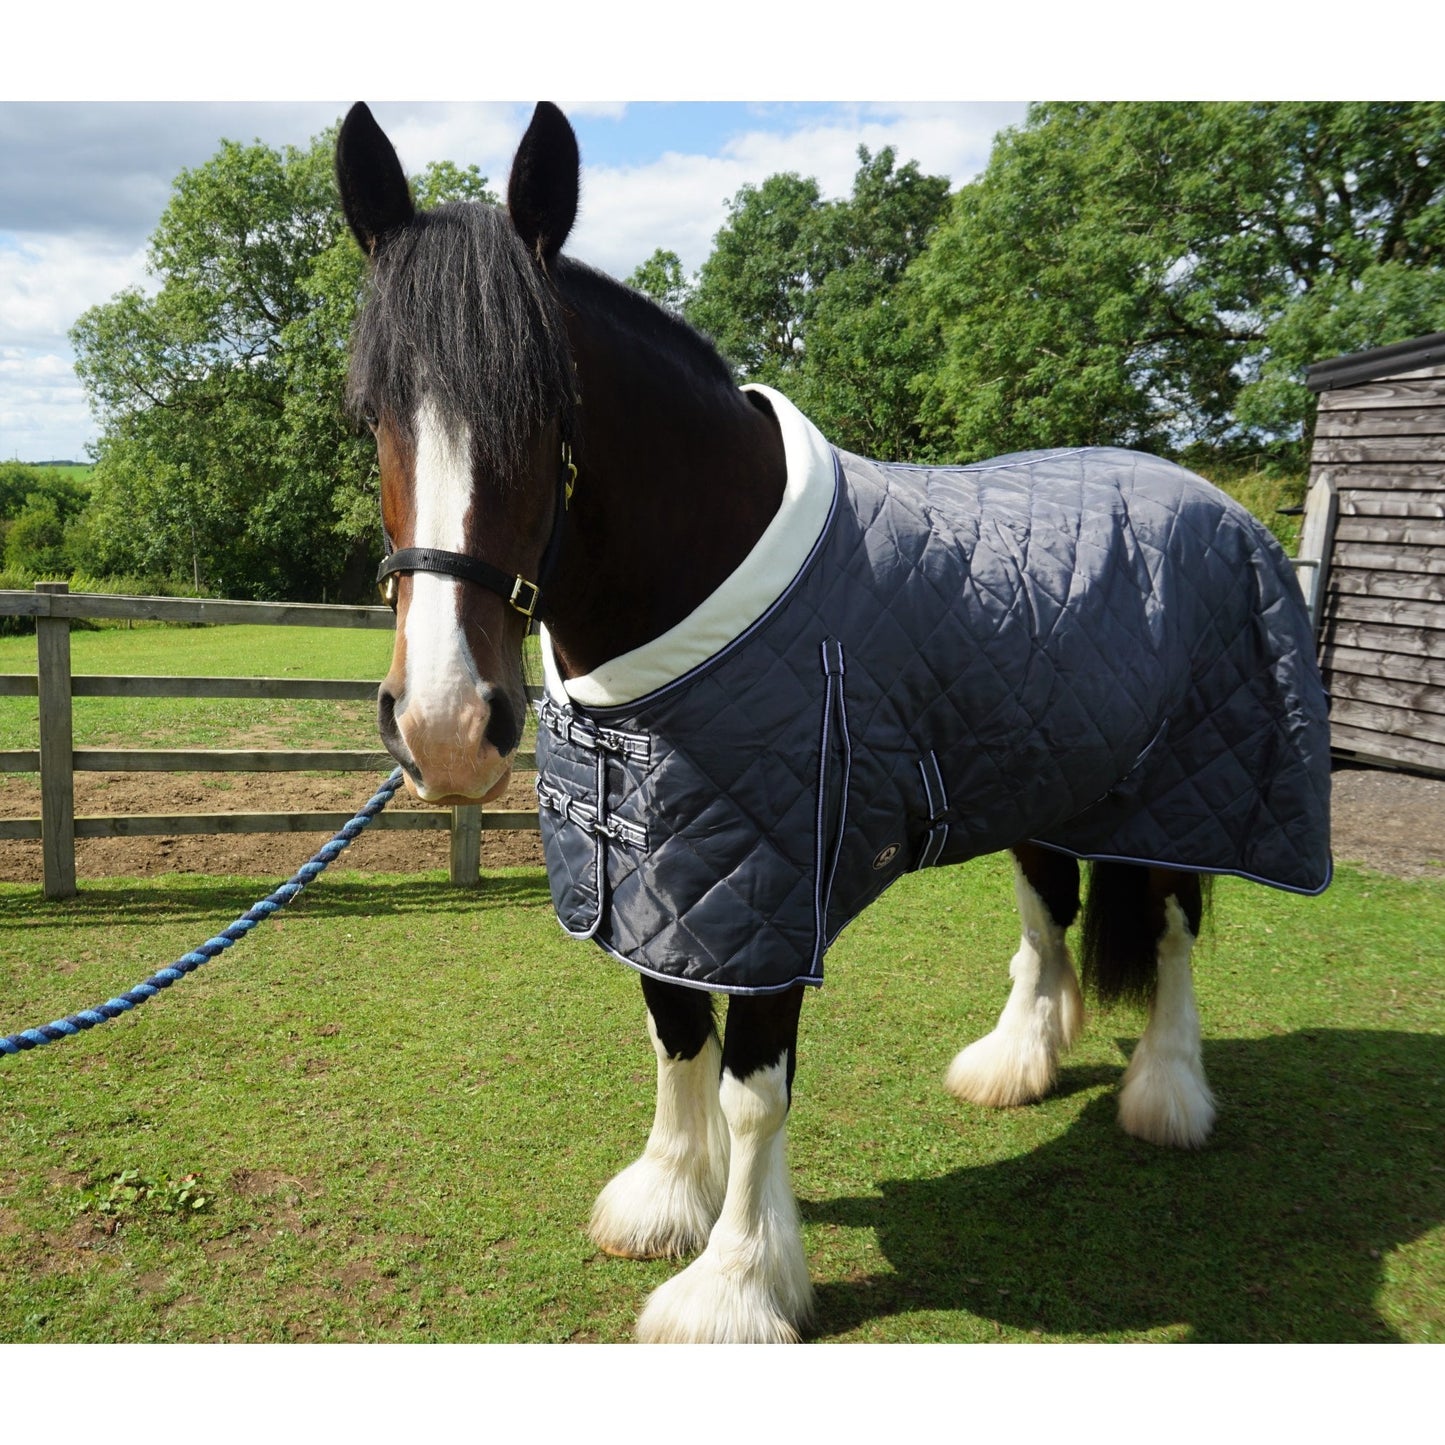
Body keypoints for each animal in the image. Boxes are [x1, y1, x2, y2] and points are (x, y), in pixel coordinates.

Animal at [335, 101, 1332, 1343]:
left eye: (548, 411)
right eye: (368, 413)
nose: (444, 724)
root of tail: (1215, 503)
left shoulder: (769, 894)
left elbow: (750, 1087)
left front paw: (734, 1282)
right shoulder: (661, 882)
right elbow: (673, 1034)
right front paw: (665, 1196)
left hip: (1190, 791)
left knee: (1170, 927)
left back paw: (1166, 1091)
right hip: (1045, 776)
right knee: (1047, 908)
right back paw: (1019, 1054)